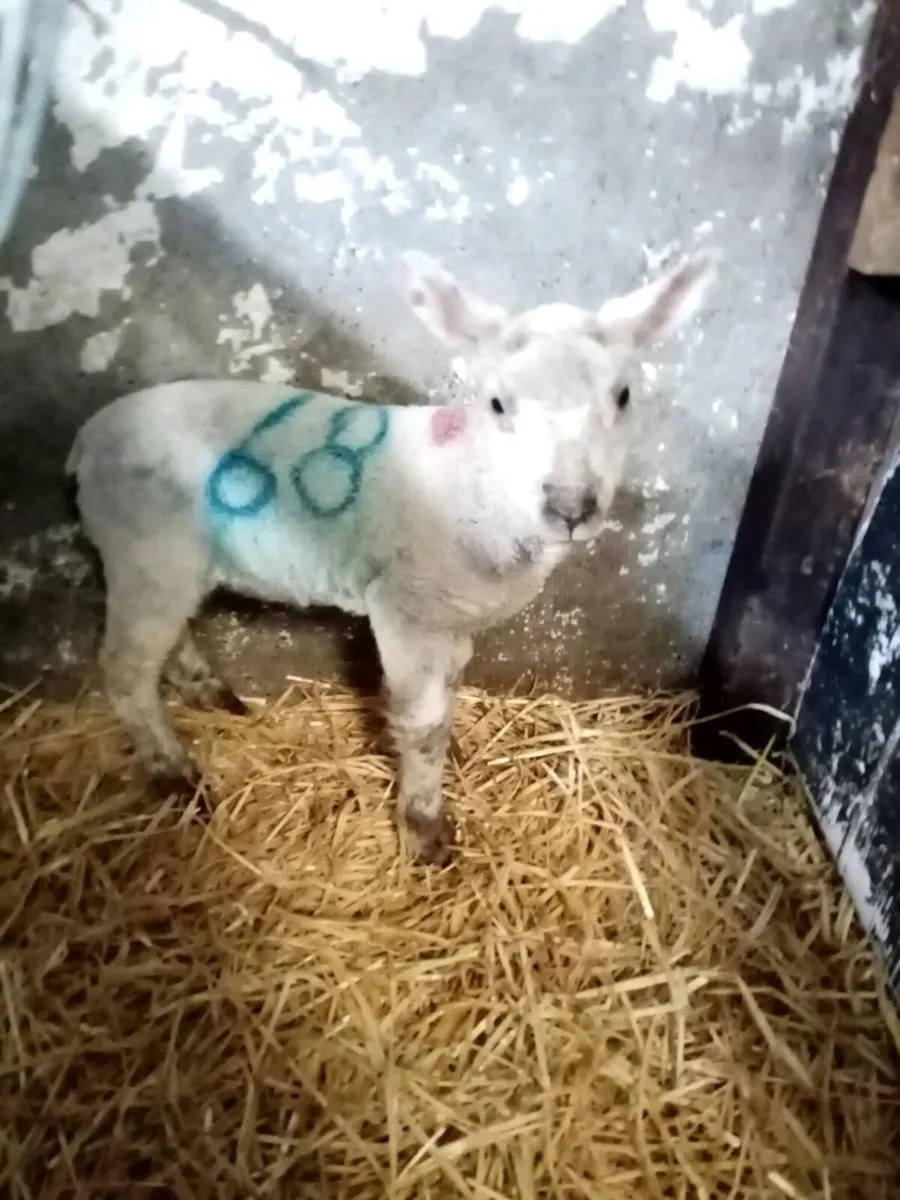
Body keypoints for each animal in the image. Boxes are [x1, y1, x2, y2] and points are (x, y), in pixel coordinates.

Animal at [65, 248, 718, 864]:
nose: (571, 505)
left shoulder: (452, 615)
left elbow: (449, 687)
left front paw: (445, 755)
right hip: (147, 549)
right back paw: (175, 777)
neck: (474, 487)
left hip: (167, 560)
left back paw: (209, 693)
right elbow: (424, 722)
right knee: (124, 668)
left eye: (624, 395)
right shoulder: (407, 607)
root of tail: (86, 440)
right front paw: (424, 827)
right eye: (497, 403)